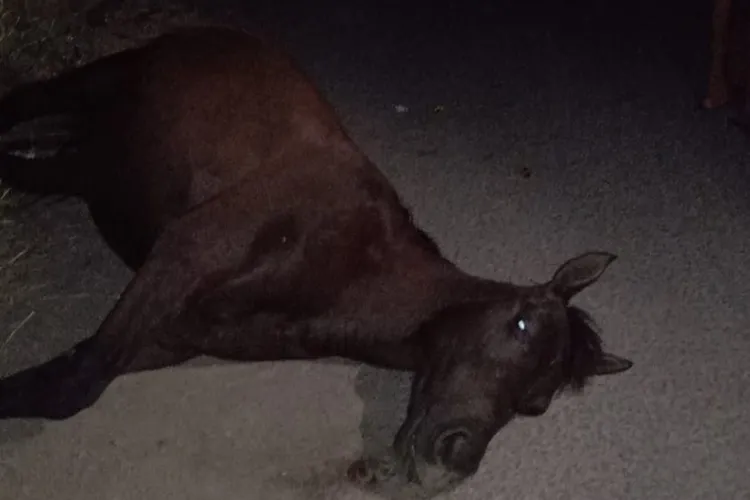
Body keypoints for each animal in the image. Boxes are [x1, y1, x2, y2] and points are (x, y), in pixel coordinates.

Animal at [0, 26, 636, 496]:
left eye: (534, 405)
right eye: (521, 322)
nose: (454, 460)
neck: (341, 275)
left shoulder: (171, 337)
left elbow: (54, 381)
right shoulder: (185, 250)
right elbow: (71, 389)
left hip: (86, 166)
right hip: (85, 90)